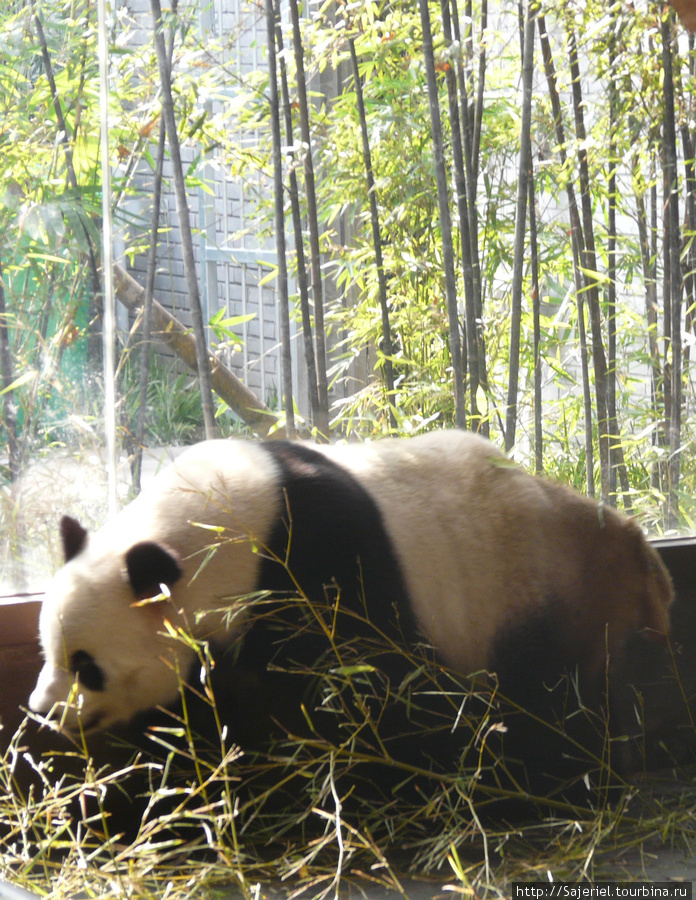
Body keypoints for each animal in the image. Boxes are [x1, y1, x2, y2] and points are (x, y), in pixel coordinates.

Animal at [28, 432, 676, 792]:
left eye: (87, 665)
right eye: (48, 652)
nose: (42, 710)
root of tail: (628, 538)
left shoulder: (320, 563)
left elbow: (361, 685)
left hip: (525, 595)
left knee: (551, 698)